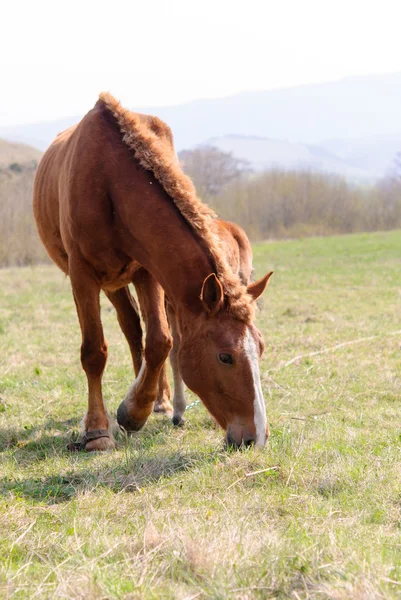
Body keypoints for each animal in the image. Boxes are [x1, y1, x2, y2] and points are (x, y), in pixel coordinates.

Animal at [33, 94, 272, 450]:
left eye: (260, 347)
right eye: (225, 357)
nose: (255, 438)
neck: (110, 177)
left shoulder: (149, 271)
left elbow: (161, 341)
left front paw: (135, 411)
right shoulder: (83, 275)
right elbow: (94, 352)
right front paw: (97, 430)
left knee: (141, 332)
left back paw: (157, 400)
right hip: (110, 281)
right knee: (130, 328)